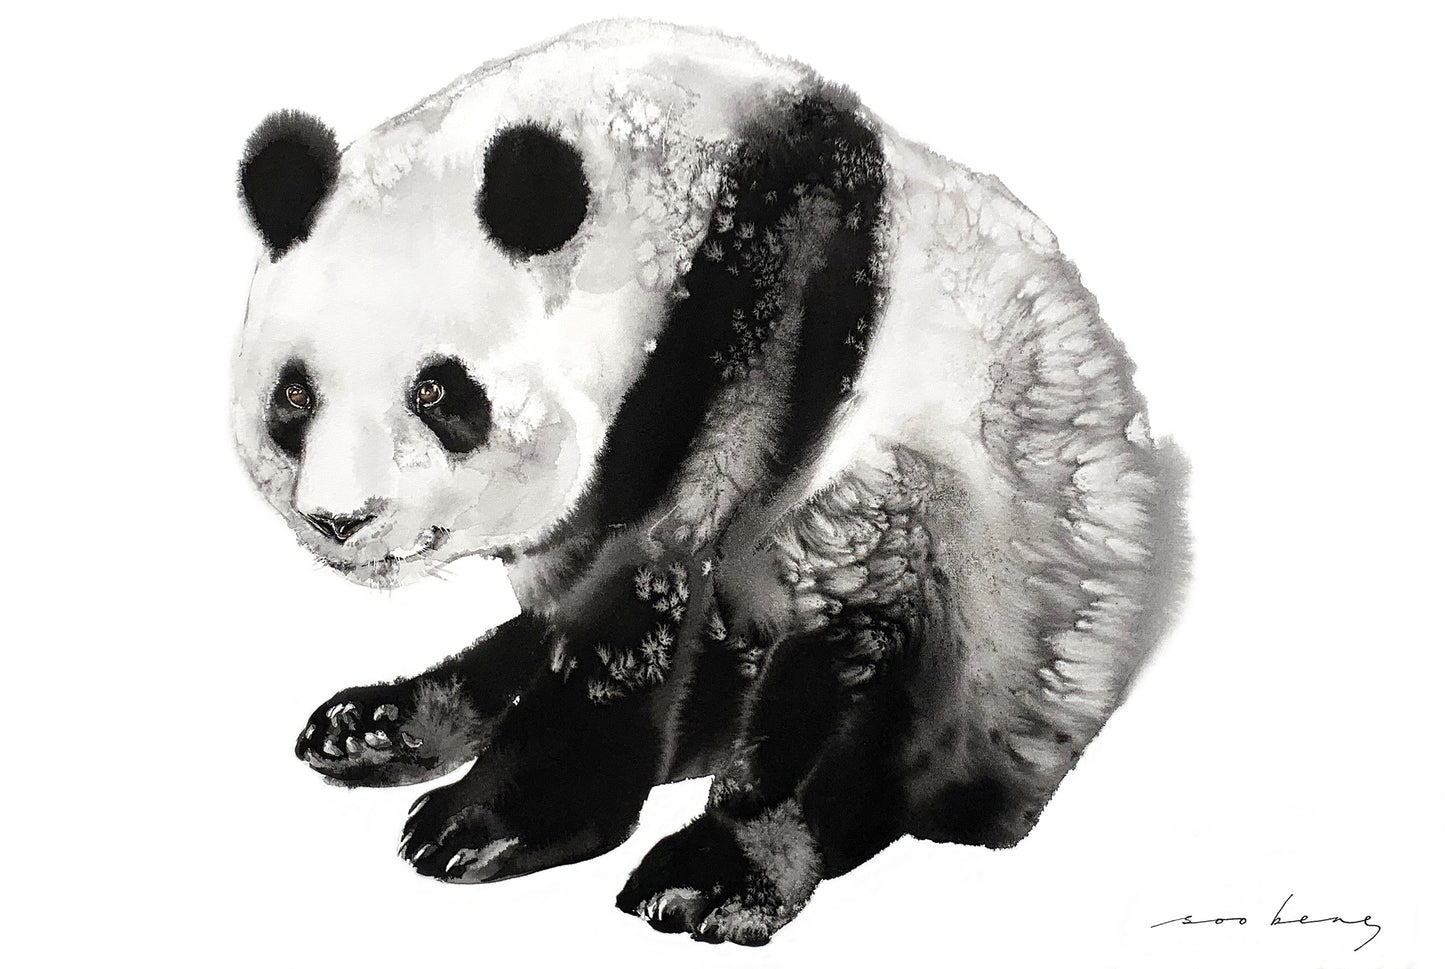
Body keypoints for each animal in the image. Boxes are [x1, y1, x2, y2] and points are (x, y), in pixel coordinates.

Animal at [232, 18, 1187, 946]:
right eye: (294, 396)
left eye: (435, 391)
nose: (341, 518)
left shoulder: (758, 330)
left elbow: (645, 596)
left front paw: (485, 823)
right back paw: (375, 723)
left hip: (1009, 570)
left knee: (871, 652)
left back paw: (715, 869)